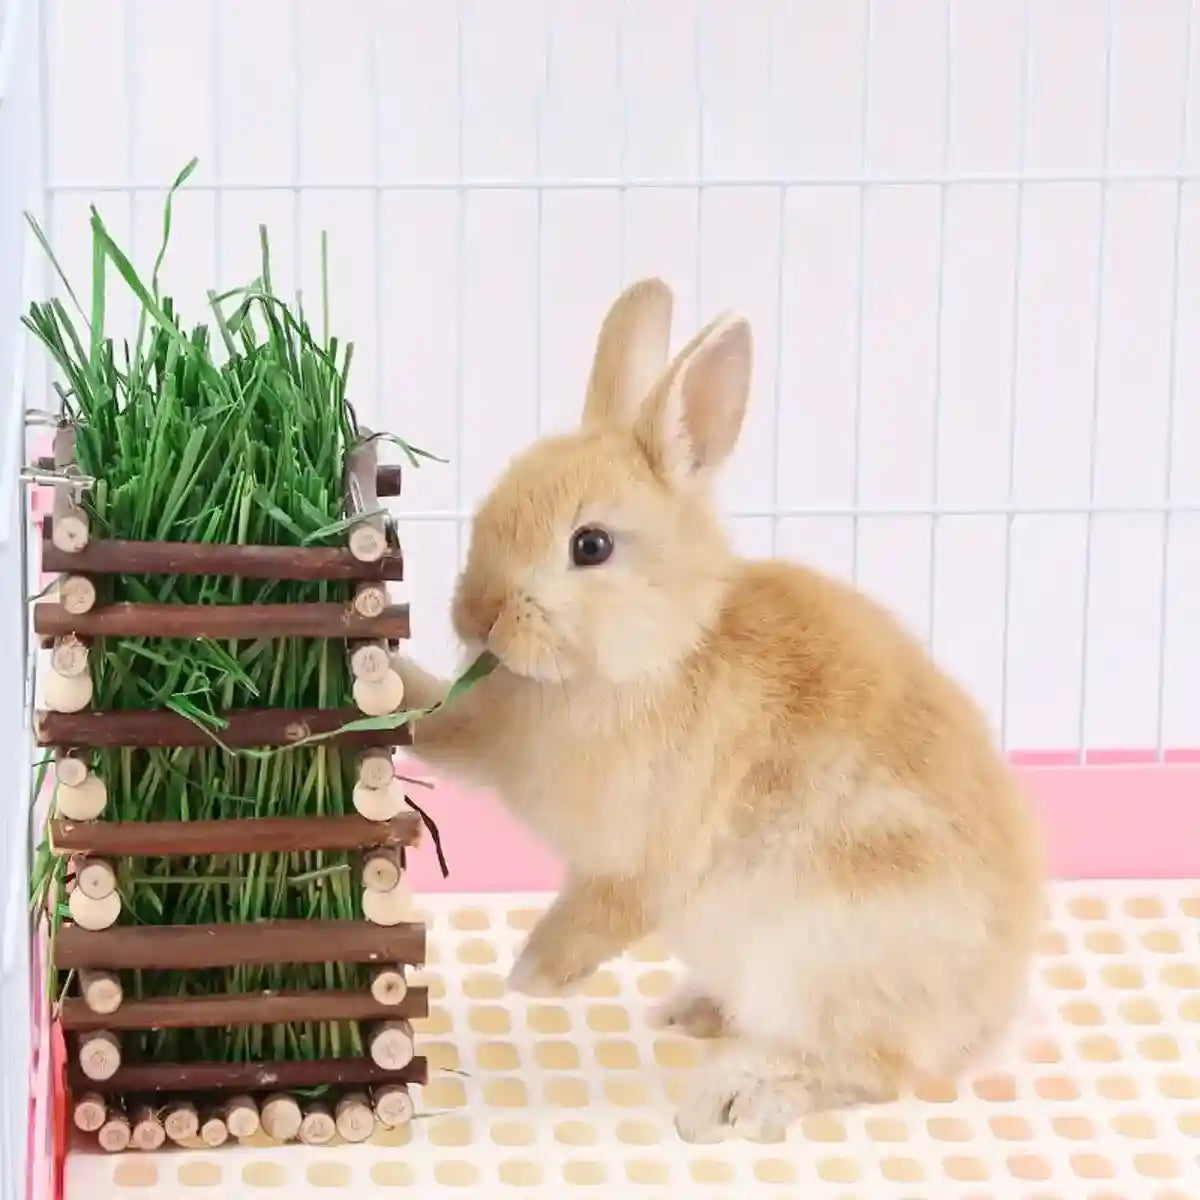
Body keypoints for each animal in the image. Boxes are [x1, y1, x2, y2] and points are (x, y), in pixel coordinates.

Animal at [394, 278, 1044, 1143]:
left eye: (590, 545)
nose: (479, 615)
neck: (662, 652)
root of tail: (984, 1021)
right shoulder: (491, 731)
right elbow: (437, 722)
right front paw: (381, 677)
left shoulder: (643, 861)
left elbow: (595, 917)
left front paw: (529, 976)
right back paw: (695, 1012)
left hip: (824, 959)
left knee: (871, 1068)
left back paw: (734, 1098)